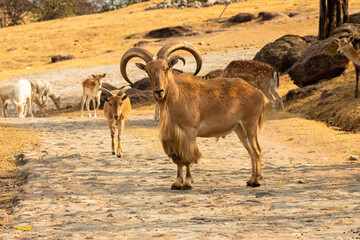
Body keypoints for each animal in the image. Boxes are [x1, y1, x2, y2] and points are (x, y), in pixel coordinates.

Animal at [120, 42, 264, 190]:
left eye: (166, 68)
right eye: (148, 71)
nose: (159, 91)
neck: (177, 97)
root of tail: (258, 93)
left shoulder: (189, 132)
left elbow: (188, 158)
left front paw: (188, 183)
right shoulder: (175, 137)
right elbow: (179, 160)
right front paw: (177, 183)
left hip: (250, 125)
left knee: (257, 150)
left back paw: (256, 181)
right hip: (239, 130)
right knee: (251, 152)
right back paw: (251, 180)